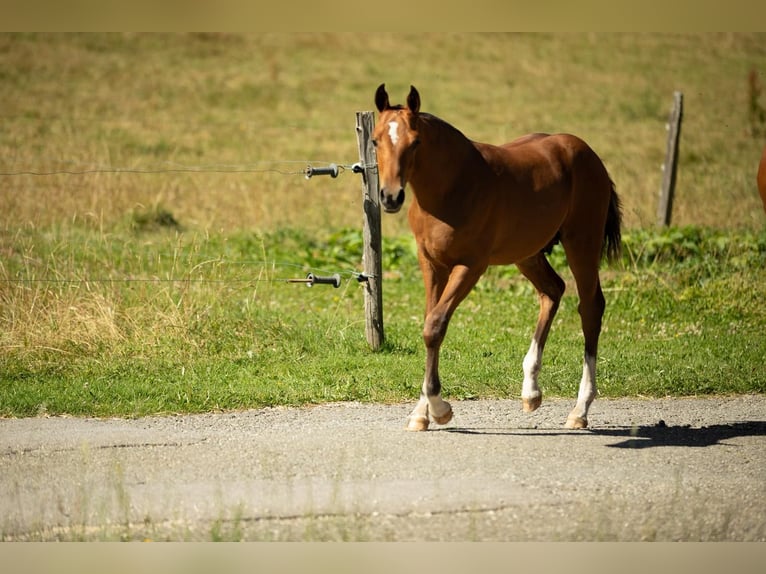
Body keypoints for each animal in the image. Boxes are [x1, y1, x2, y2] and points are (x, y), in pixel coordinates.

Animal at [373, 84, 622, 431]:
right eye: (375, 140)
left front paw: (439, 409)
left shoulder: (470, 266)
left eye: (415, 141)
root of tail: (589, 155)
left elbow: (435, 325)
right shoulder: (431, 263)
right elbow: (429, 324)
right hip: (528, 253)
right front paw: (421, 414)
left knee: (590, 307)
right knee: (553, 290)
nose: (390, 197)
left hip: (581, 243)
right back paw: (531, 392)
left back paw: (579, 410)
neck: (452, 187)